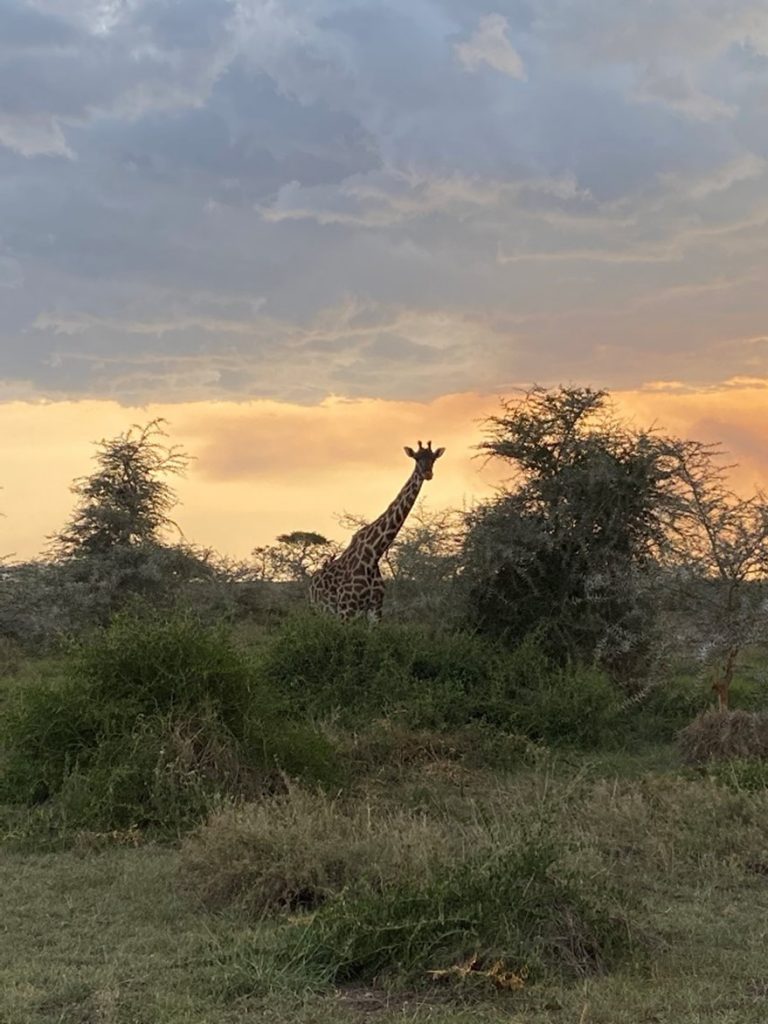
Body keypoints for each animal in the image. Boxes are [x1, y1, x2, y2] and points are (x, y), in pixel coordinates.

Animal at [309, 436, 448, 618]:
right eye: (417, 458)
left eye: (433, 459)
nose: (427, 473)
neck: (373, 554)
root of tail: (312, 581)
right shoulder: (347, 610)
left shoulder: (375, 609)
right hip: (322, 611)